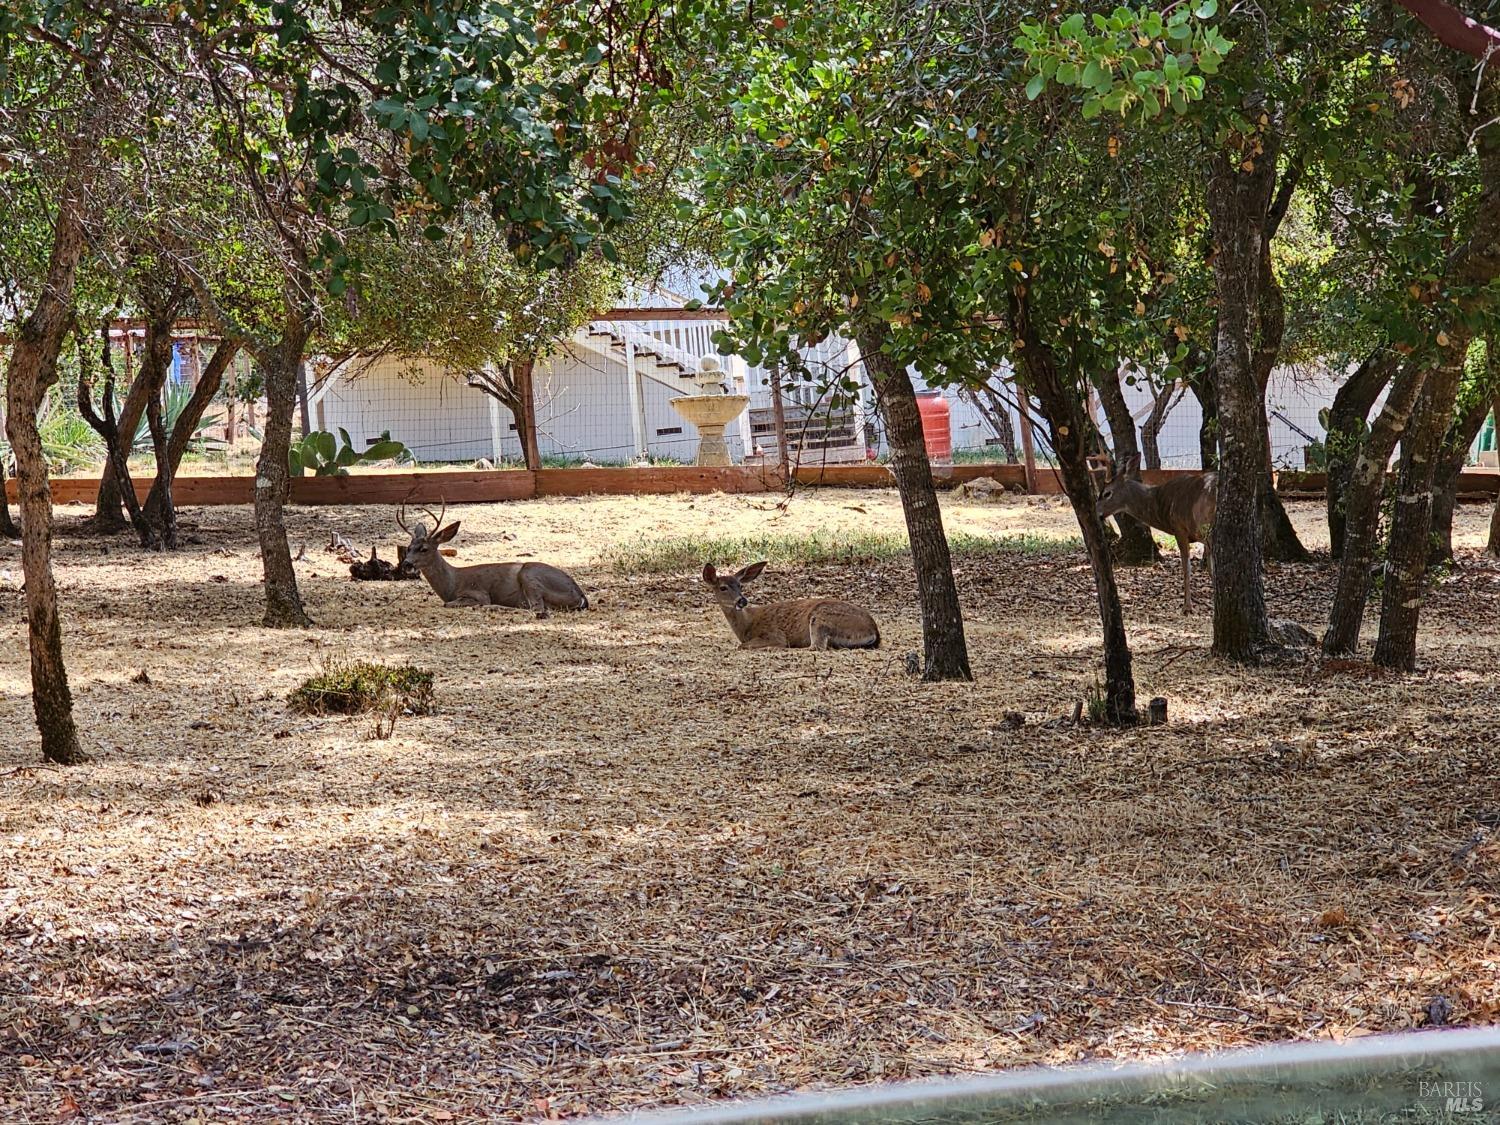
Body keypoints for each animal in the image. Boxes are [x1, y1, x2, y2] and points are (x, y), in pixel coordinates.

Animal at [396, 501, 588, 618]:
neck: (452, 583)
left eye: (424, 549)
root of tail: (580, 595)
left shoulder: (478, 593)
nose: (406, 564)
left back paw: (491, 607)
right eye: (408, 548)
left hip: (529, 574)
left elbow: (449, 604)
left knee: (536, 609)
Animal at [699, 564, 876, 651]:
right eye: (723, 588)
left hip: (821, 616)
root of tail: (874, 631)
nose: (742, 601)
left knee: (816, 647)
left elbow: (742, 646)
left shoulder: (773, 633)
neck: (746, 627)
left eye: (740, 585)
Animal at [1092, 453, 1218, 618]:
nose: (1096, 513)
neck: (1160, 505)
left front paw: (1187, 608)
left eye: (1107, 493)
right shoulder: (1201, 538)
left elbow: (1187, 569)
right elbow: (1210, 568)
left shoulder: (1180, 528)